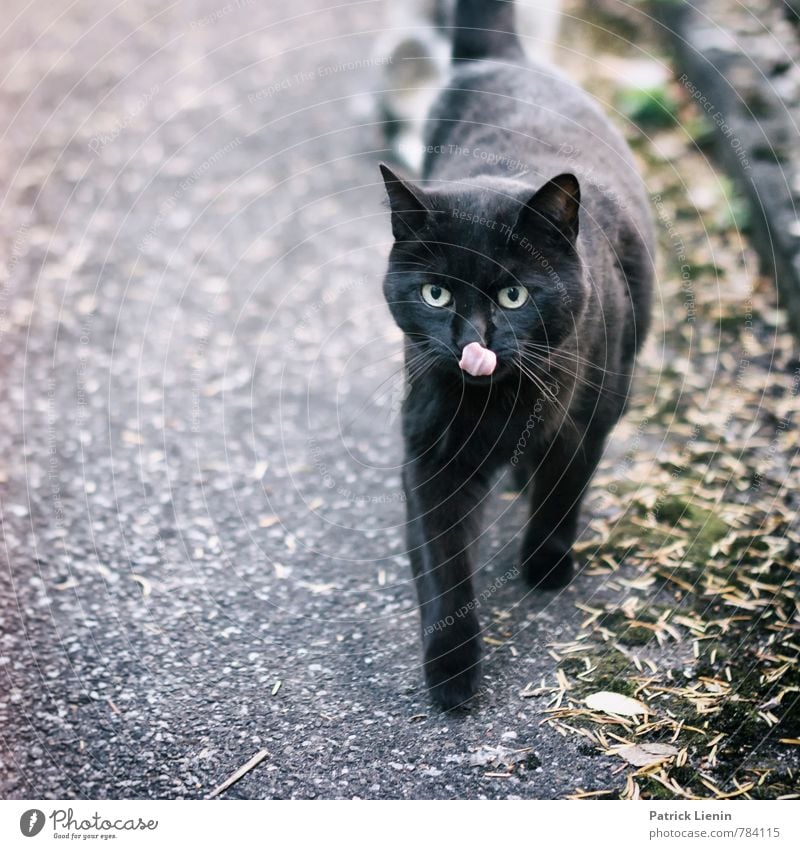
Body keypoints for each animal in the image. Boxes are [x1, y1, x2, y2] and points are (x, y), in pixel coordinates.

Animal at [380, 0, 648, 708]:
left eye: (513, 294)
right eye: (437, 293)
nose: (473, 340)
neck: (498, 403)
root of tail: (508, 57)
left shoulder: (586, 419)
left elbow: (565, 488)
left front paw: (546, 564)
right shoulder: (432, 449)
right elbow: (443, 559)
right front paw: (452, 672)